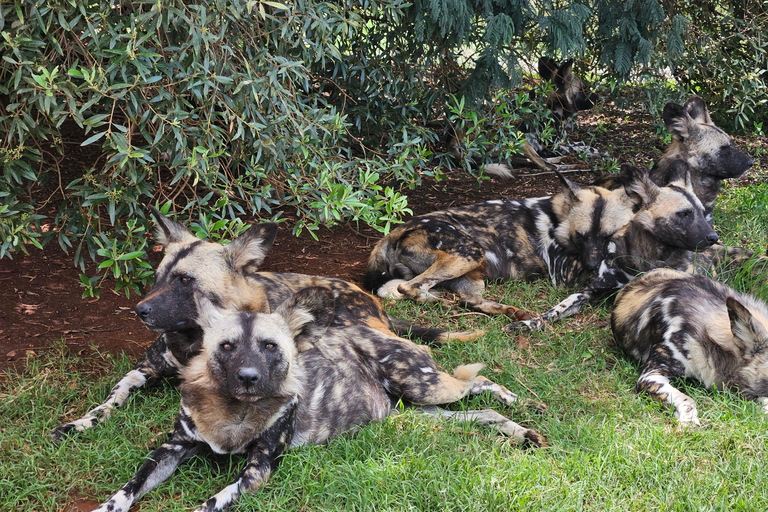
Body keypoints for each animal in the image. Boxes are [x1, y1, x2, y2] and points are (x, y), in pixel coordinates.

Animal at [51, 208, 476, 440]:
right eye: (158, 278)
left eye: (185, 281)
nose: (140, 311)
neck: (190, 340)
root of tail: (369, 298)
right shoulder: (140, 371)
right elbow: (110, 400)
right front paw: (80, 423)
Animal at [91, 286, 544, 512]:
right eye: (226, 346)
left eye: (270, 346)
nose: (249, 378)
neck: (233, 410)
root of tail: (378, 326)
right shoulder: (170, 450)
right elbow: (125, 491)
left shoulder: (259, 470)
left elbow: (211, 503)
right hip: (418, 415)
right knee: (479, 412)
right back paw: (519, 431)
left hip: (423, 386)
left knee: (478, 380)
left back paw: (520, 405)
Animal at [366, 170, 636, 318]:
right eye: (581, 236)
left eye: (608, 236)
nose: (592, 266)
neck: (559, 217)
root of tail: (393, 232)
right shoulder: (565, 274)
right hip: (469, 252)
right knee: (409, 287)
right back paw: (445, 304)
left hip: (471, 272)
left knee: (468, 300)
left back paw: (511, 312)